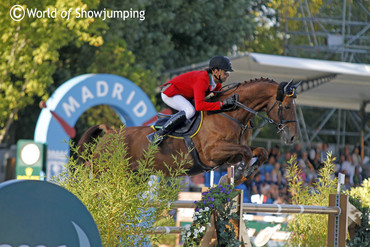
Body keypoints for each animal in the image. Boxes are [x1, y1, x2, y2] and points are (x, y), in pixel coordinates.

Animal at [78, 78, 300, 184]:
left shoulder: (231, 151)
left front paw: (247, 170)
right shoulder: (212, 153)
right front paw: (242, 172)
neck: (230, 114)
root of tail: (109, 133)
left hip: (135, 176)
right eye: (287, 107)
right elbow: (246, 153)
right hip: (105, 172)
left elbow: (260, 152)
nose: (292, 137)